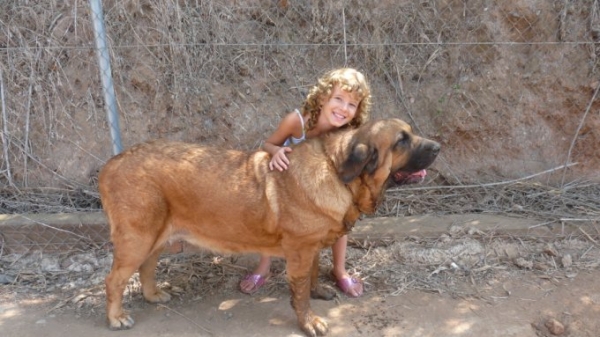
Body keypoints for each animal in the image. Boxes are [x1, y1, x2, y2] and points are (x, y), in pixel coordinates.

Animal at [97, 117, 436, 334]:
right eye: (401, 140)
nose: (438, 147)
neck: (337, 171)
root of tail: (112, 162)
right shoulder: (299, 250)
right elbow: (299, 292)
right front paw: (309, 321)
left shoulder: (310, 246)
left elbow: (313, 274)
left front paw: (318, 292)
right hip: (138, 238)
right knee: (114, 280)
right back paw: (116, 319)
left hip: (157, 237)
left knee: (146, 268)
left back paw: (153, 295)